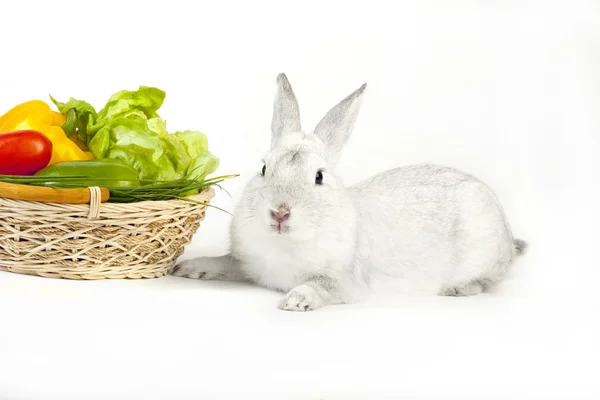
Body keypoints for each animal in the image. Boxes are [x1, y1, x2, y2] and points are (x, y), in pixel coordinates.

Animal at [171, 73, 528, 310]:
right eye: (263, 169)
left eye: (318, 177)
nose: (280, 212)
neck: (286, 243)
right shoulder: (245, 265)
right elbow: (224, 262)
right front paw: (188, 268)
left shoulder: (345, 283)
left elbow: (323, 286)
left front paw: (296, 299)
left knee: (486, 281)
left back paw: (457, 290)